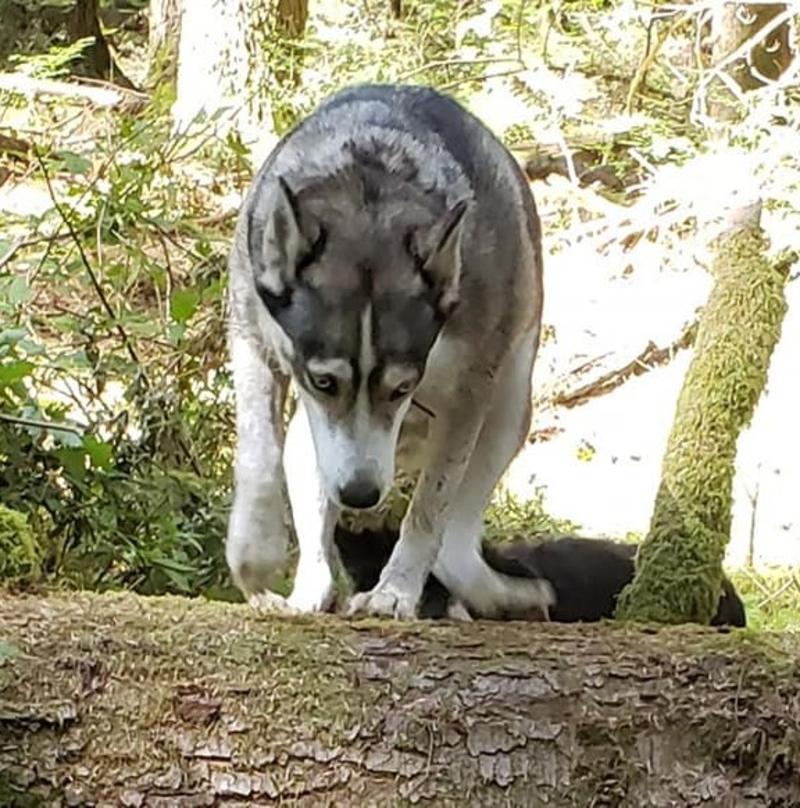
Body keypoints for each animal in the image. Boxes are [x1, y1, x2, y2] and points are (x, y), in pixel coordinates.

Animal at [225, 85, 552, 620]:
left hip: (506, 413)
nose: (360, 494)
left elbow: (427, 513)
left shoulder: (466, 398)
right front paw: (255, 556)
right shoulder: (251, 340)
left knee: (455, 547)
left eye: (402, 388)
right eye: (323, 381)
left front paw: (394, 592)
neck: (368, 196)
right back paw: (310, 590)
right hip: (311, 447)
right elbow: (257, 457)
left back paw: (503, 596)